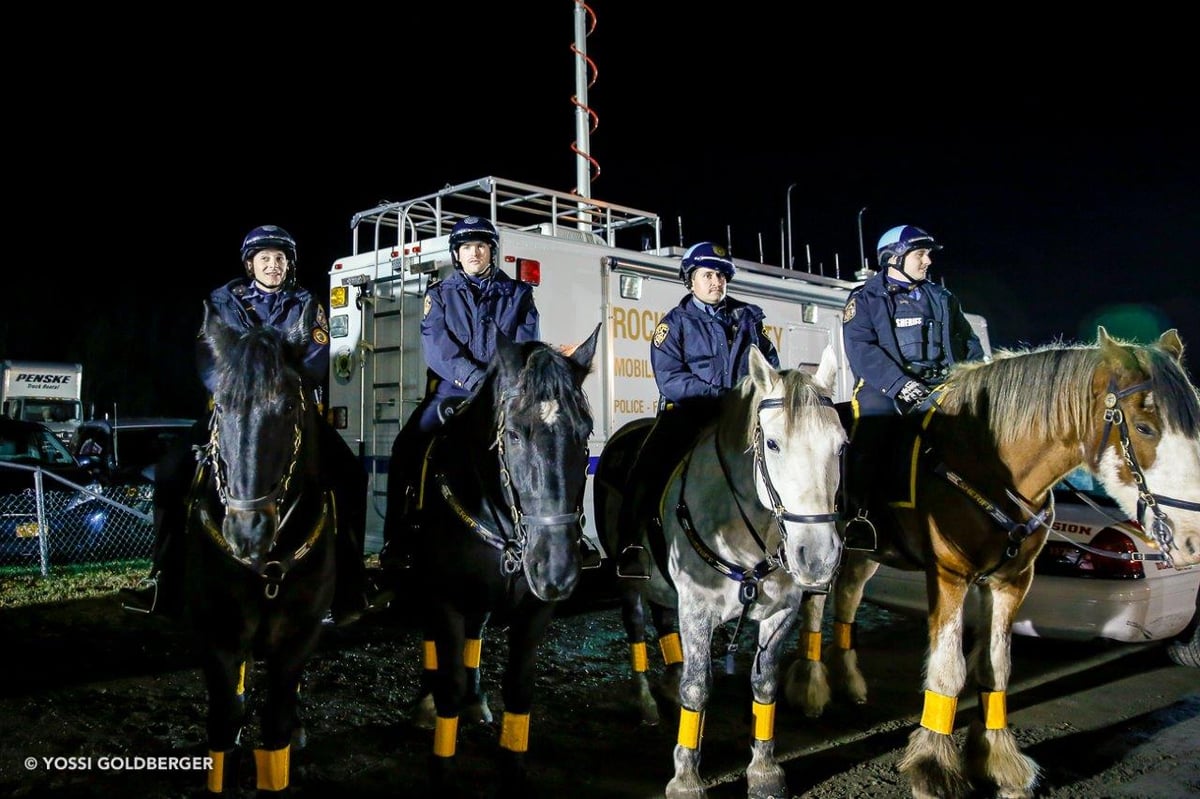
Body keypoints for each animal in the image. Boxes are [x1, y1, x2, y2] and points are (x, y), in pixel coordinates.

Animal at [187, 299, 338, 791]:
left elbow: (276, 730)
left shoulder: (298, 638)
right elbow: (222, 721)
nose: (247, 530)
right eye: (221, 405)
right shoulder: (217, 633)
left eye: (290, 404)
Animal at [410, 321, 600, 791]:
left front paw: (512, 768)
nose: (556, 570)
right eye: (513, 433)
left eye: (584, 431)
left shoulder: (535, 609)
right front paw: (441, 767)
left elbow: (518, 686)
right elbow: (449, 683)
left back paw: (477, 699)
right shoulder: (444, 597)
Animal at [597, 343, 844, 796]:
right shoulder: (697, 607)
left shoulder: (782, 611)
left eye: (841, 446)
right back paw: (646, 703)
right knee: (637, 630)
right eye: (773, 443)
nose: (816, 556)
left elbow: (764, 683)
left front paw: (764, 770)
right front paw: (686, 778)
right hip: (630, 584)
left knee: (662, 620)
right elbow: (697, 687)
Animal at [787, 326, 1200, 796]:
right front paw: (933, 768)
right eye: (1145, 427)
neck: (989, 465)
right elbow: (949, 671)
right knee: (815, 605)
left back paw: (848, 679)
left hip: (868, 552)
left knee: (849, 597)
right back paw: (811, 688)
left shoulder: (1011, 582)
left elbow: (995, 667)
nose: (1190, 539)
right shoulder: (949, 577)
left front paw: (1000, 762)